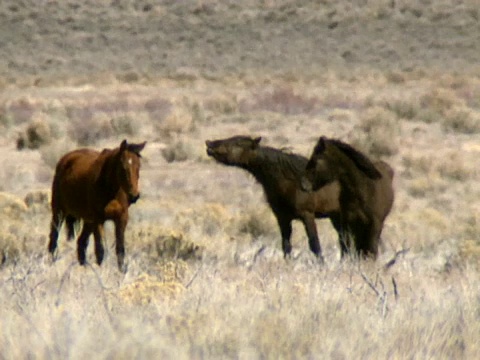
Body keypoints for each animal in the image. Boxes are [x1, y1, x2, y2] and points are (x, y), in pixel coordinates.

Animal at [49, 139, 147, 272]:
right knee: (54, 240)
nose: (134, 196)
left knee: (81, 243)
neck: (110, 190)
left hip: (88, 220)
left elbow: (120, 249)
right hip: (59, 212)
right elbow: (100, 249)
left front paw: (121, 272)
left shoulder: (121, 218)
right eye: (123, 167)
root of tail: (65, 158)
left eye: (139, 166)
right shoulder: (98, 219)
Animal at [206, 135, 342, 262]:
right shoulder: (282, 218)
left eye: (238, 143)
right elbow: (286, 246)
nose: (209, 144)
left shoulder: (307, 215)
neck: (291, 182)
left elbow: (314, 244)